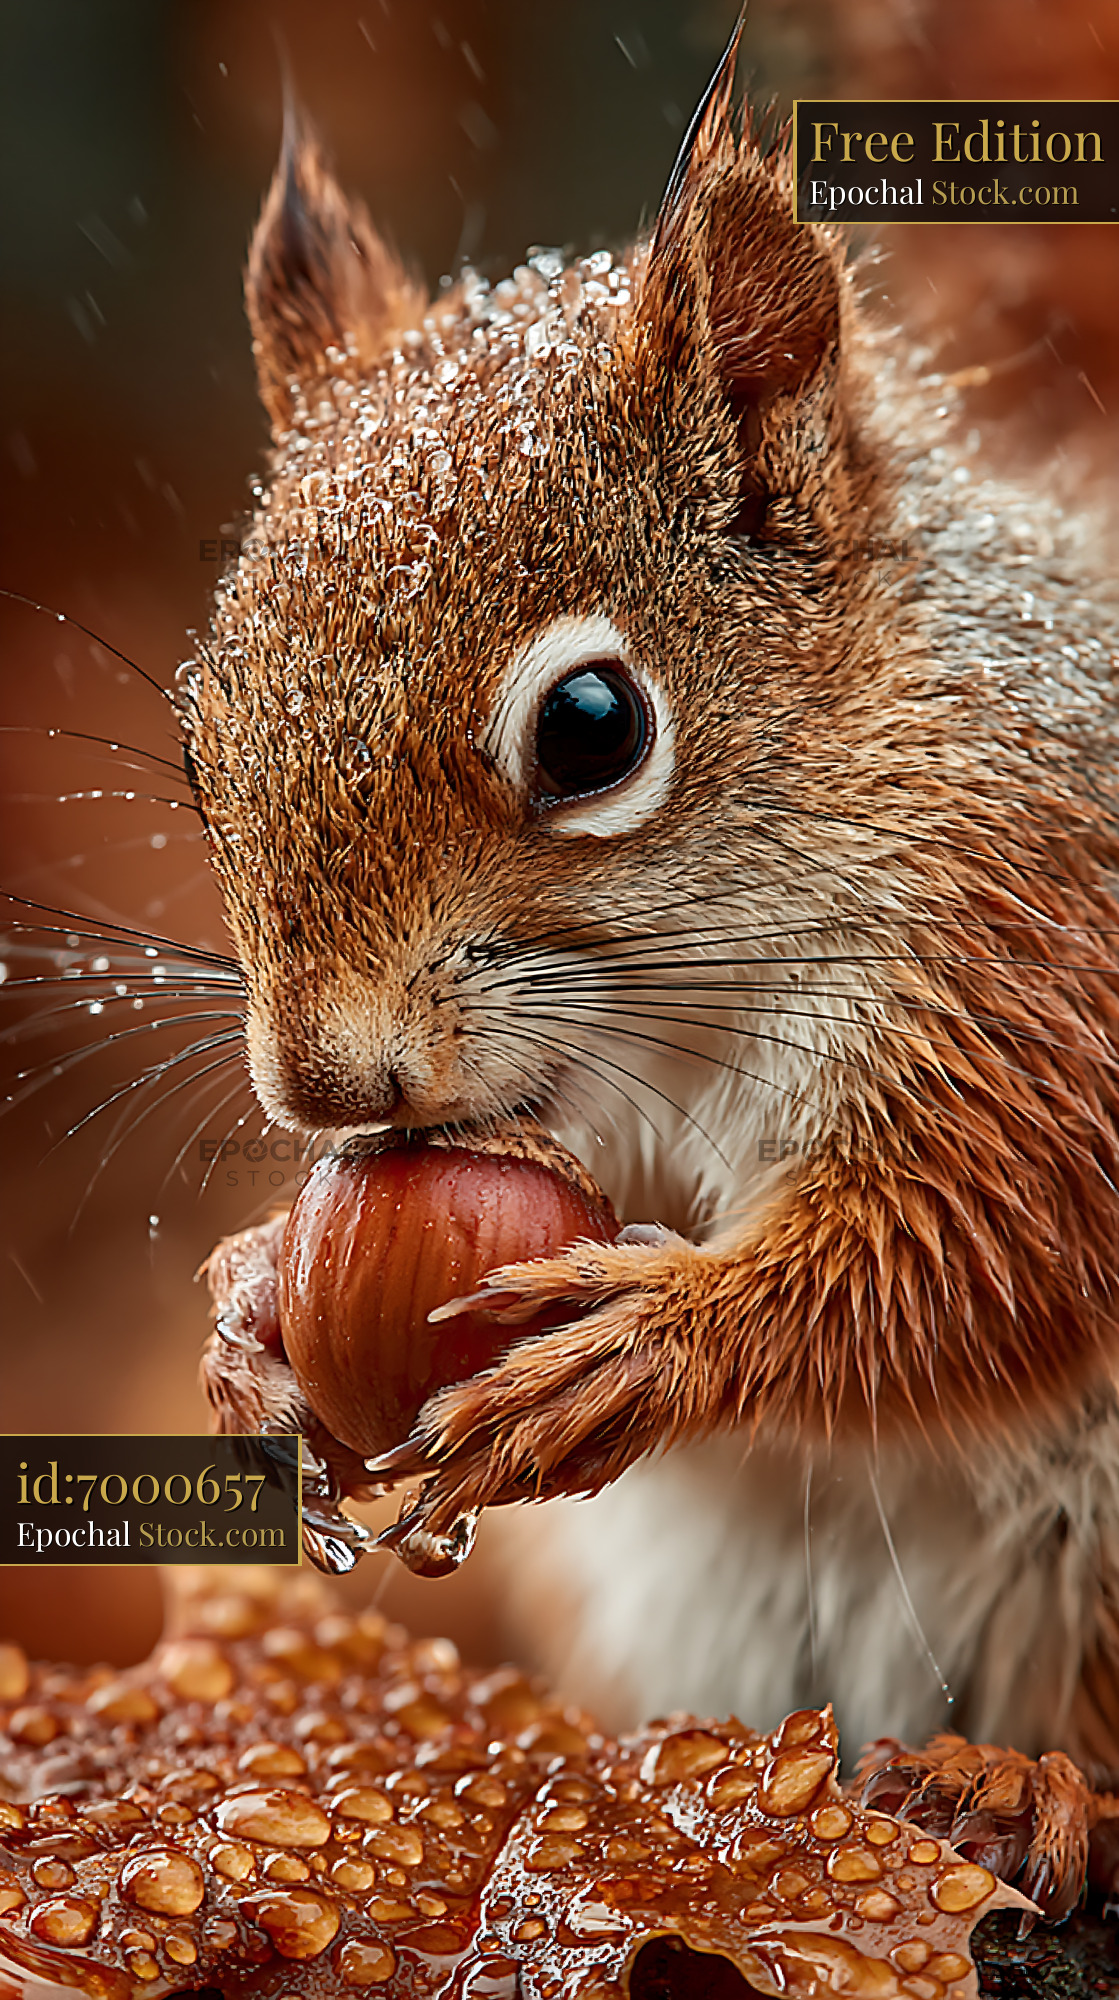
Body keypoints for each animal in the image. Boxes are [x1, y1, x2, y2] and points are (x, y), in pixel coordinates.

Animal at [186, 37, 1119, 1920]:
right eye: (198, 738)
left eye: (589, 728)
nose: (322, 1087)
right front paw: (249, 1308)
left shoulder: (1037, 969)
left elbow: (965, 1244)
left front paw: (647, 1343)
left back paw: (1020, 1782)